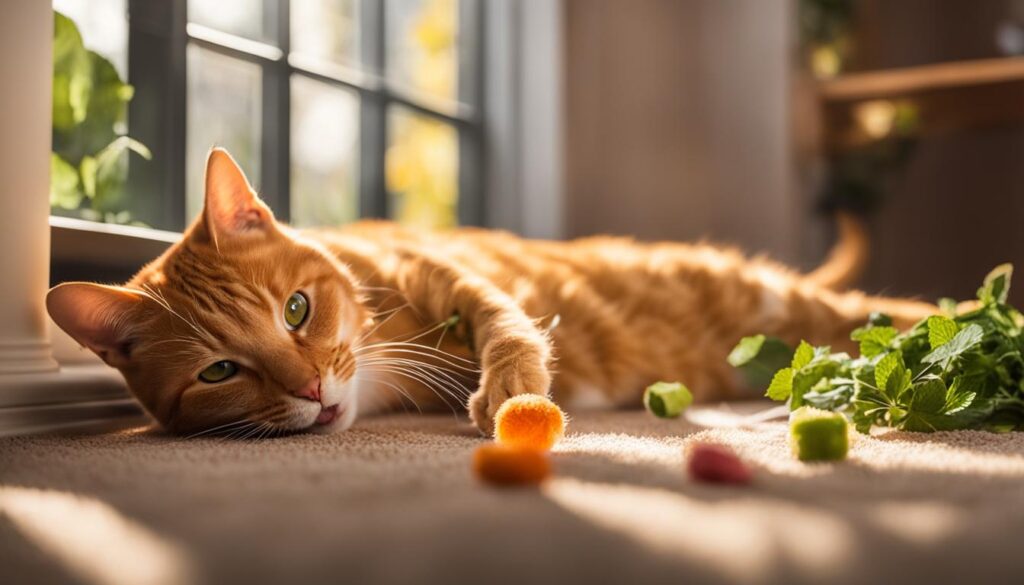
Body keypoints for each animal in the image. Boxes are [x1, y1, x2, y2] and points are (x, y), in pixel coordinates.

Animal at [46, 148, 937, 436]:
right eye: (220, 371)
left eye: (296, 309)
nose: (310, 388)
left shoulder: (444, 272)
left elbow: (505, 321)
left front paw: (510, 385)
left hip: (790, 309)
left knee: (915, 315)